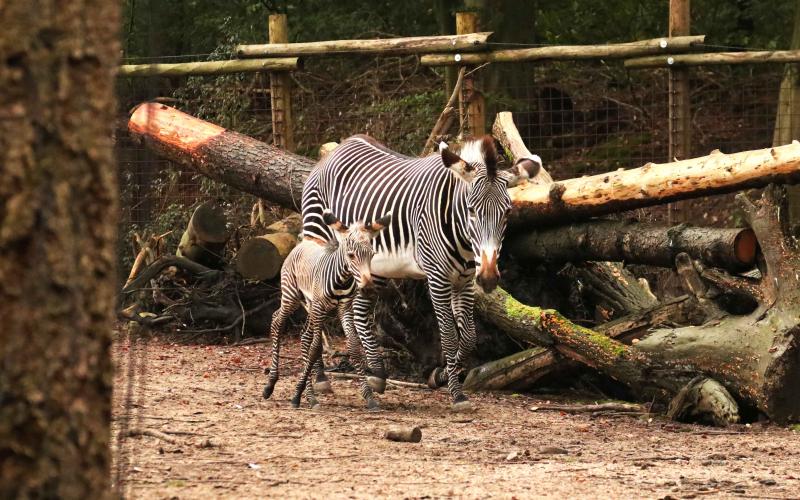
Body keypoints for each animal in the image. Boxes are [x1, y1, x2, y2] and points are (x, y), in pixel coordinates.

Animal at [264, 209, 392, 408]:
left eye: (372, 255)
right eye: (351, 255)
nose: (368, 289)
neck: (342, 279)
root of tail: (303, 243)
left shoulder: (344, 309)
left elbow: (353, 347)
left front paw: (369, 397)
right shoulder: (319, 307)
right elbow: (316, 349)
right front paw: (296, 395)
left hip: (310, 304)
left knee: (304, 336)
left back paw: (310, 396)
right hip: (292, 296)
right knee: (277, 320)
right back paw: (271, 384)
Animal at [304, 134, 540, 410]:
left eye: (507, 211)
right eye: (471, 210)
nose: (489, 277)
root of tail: (338, 148)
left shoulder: (464, 281)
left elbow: (469, 337)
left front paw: (441, 375)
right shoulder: (437, 278)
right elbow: (448, 335)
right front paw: (456, 394)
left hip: (375, 265)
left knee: (360, 311)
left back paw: (376, 373)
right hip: (318, 238)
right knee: (315, 307)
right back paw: (320, 377)